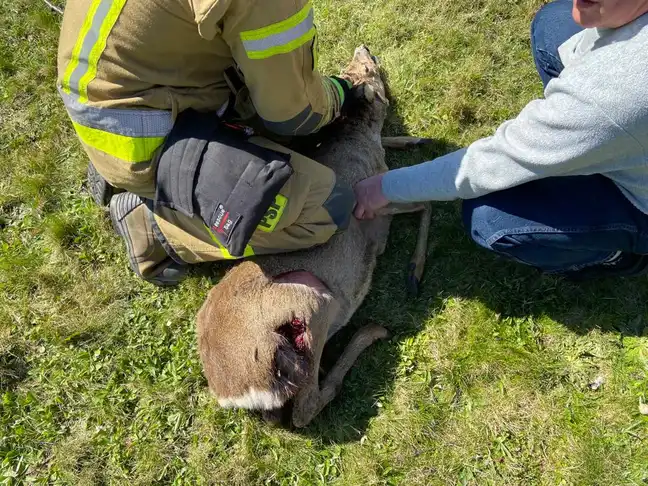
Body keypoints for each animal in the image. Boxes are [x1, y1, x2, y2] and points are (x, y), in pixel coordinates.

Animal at [195, 44, 432, 426]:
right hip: (312, 303)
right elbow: (427, 204)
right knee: (306, 408)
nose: (364, 46)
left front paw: (413, 138)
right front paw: (415, 272)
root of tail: (234, 394)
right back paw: (371, 332)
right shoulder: (373, 208)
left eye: (355, 65)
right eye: (369, 69)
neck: (360, 141)